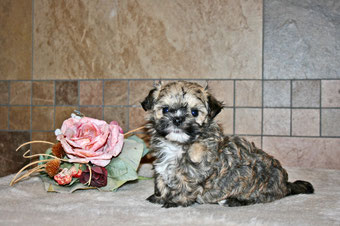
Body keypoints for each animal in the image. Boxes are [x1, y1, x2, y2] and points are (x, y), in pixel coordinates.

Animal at [141, 81, 314, 208]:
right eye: (165, 110)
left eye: (194, 112)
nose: (177, 119)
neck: (178, 144)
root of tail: (285, 184)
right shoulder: (161, 165)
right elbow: (161, 181)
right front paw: (159, 197)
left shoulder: (193, 172)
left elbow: (185, 186)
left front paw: (175, 202)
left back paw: (232, 200)